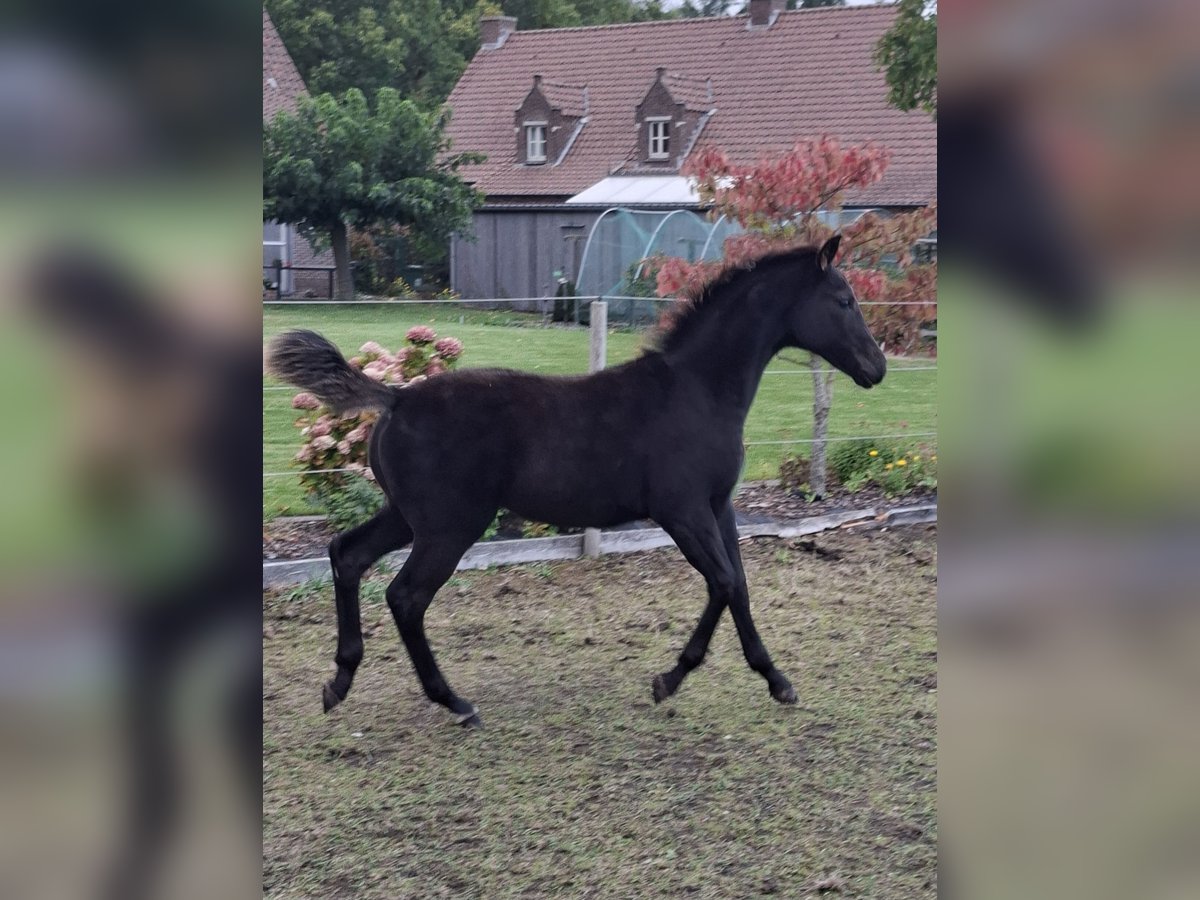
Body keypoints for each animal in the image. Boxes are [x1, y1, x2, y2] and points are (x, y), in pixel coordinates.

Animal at [267, 235, 886, 727]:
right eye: (844, 300)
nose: (876, 367)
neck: (698, 390)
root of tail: (396, 397)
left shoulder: (719, 506)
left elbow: (737, 585)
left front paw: (770, 678)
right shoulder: (682, 510)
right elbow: (724, 583)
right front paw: (674, 679)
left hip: (408, 515)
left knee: (346, 554)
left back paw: (339, 682)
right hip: (450, 526)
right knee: (405, 595)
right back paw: (455, 702)